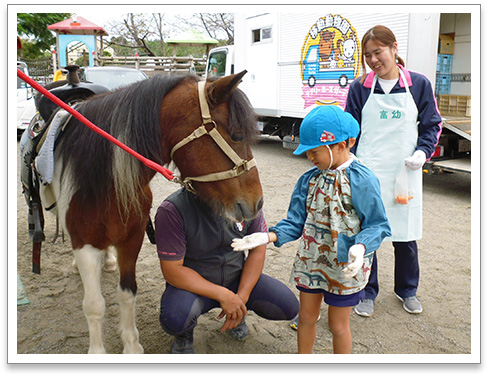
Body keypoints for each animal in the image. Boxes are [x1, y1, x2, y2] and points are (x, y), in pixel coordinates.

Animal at [39, 70, 262, 352]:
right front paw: (97, 350)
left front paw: (132, 345)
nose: (258, 202)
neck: (106, 181)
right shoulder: (84, 245)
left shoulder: (131, 239)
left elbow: (127, 293)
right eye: (236, 135)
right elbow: (94, 305)